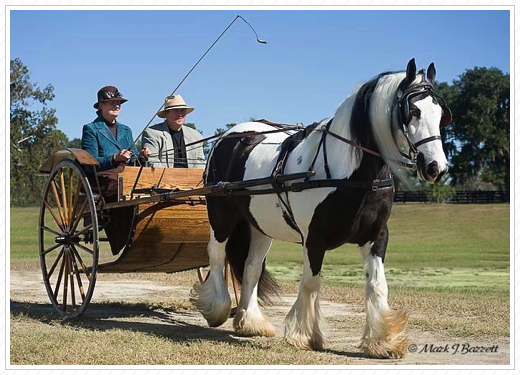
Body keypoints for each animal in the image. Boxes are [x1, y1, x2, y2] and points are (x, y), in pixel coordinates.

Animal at [190, 58, 450, 358]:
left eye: (441, 114)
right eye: (413, 111)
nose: (437, 167)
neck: (352, 174)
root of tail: (229, 137)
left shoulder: (376, 237)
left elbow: (377, 284)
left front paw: (382, 340)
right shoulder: (314, 238)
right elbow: (311, 282)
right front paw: (305, 335)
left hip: (260, 227)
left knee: (251, 268)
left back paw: (251, 322)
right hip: (221, 216)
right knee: (216, 254)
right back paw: (217, 308)